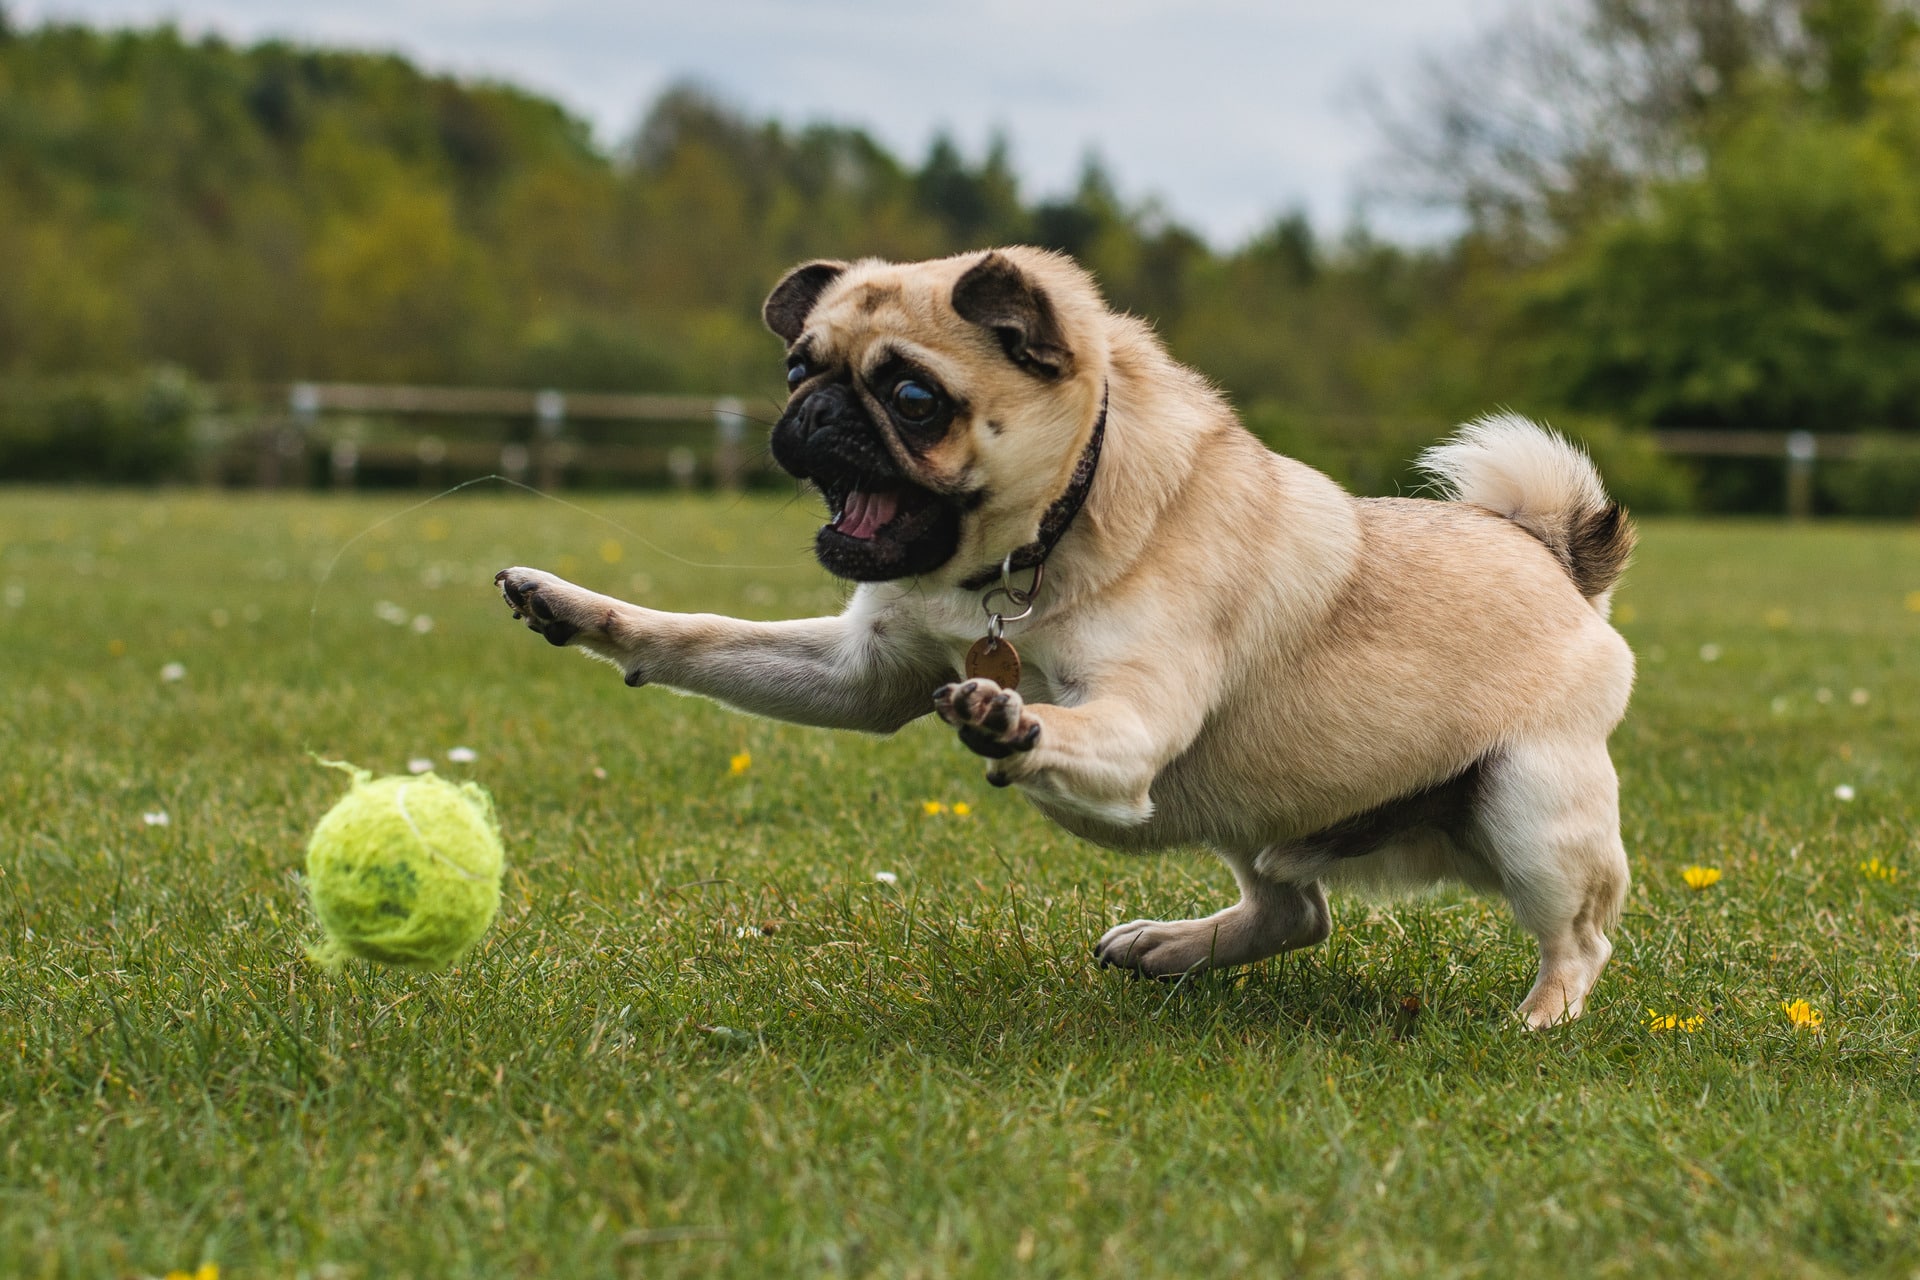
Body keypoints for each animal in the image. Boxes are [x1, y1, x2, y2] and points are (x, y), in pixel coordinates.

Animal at [495, 247, 1635, 1028]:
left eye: (913, 396)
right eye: (796, 371)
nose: (814, 413)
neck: (1029, 552)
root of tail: (1556, 557)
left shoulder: (1134, 722)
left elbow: (1064, 724)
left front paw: (1009, 721)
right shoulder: (861, 673)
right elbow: (699, 635)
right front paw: (580, 609)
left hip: (1530, 807)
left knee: (1581, 935)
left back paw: (1541, 1017)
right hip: (1246, 806)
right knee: (1294, 912)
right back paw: (1171, 946)